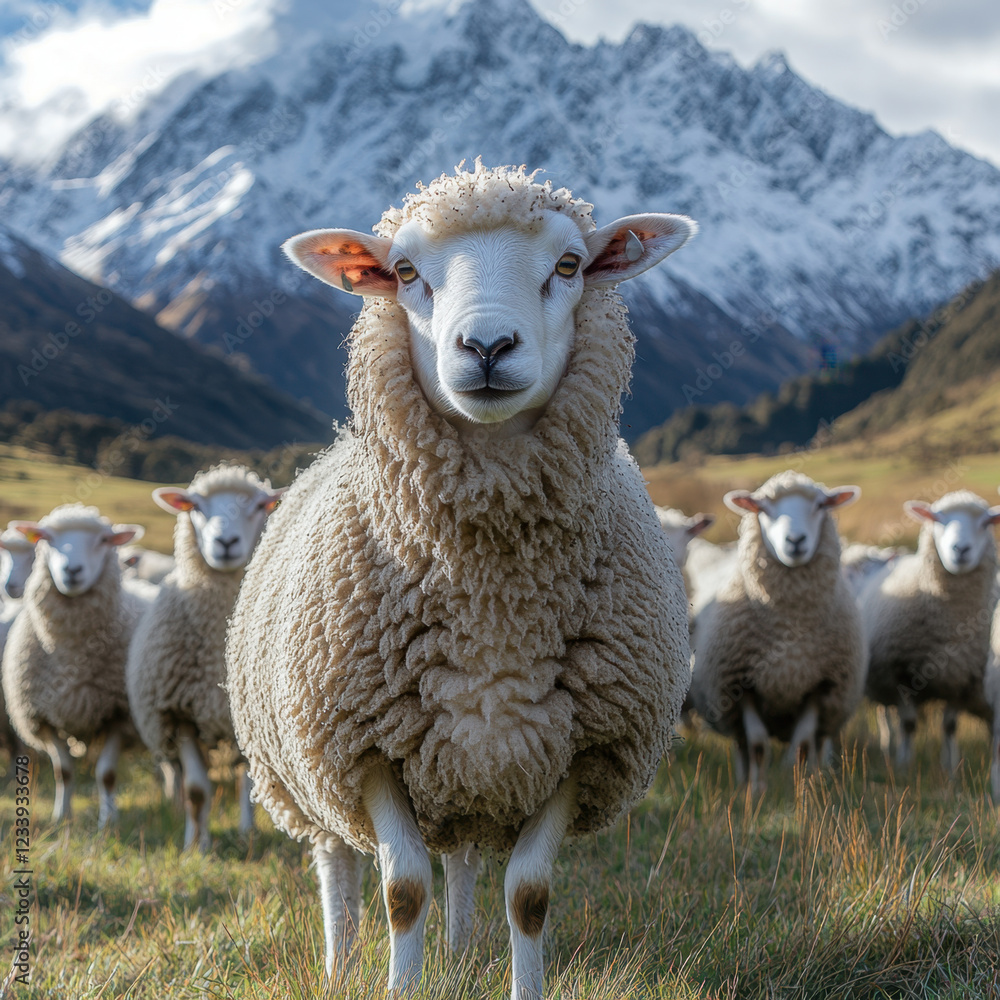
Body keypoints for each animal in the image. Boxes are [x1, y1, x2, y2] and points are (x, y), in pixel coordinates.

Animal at [1, 505, 142, 824]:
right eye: (45, 538)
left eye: (104, 540)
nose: (72, 570)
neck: (72, 655)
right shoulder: (42, 717)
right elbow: (62, 771)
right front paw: (60, 817)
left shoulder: (119, 716)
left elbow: (107, 773)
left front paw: (108, 821)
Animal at [125, 464, 284, 851]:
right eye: (195, 506)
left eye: (261, 505)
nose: (225, 543)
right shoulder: (179, 714)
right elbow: (197, 791)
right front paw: (196, 847)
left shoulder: (243, 713)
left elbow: (247, 781)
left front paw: (243, 832)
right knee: (179, 775)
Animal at [225, 161, 695, 998]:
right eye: (407, 272)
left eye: (569, 265)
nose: (486, 345)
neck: (493, 600)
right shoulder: (366, 749)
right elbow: (402, 889)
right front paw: (400, 984)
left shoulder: (580, 748)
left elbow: (529, 895)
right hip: (305, 771)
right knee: (337, 866)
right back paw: (341, 964)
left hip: (467, 772)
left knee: (468, 860)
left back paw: (463, 950)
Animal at [689, 471, 865, 793]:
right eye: (762, 508)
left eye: (821, 505)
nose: (795, 541)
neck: (789, 624)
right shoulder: (740, 685)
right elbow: (758, 744)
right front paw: (756, 791)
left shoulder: (820, 685)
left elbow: (803, 745)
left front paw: (803, 790)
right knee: (743, 746)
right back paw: (744, 781)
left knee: (816, 744)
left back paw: (817, 776)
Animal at [861, 491, 1000, 773]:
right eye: (937, 519)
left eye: (986, 523)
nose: (960, 549)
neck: (948, 625)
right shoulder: (902, 672)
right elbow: (908, 724)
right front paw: (904, 766)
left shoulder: (960, 677)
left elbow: (950, 726)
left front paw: (950, 768)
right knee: (885, 714)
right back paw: (887, 747)